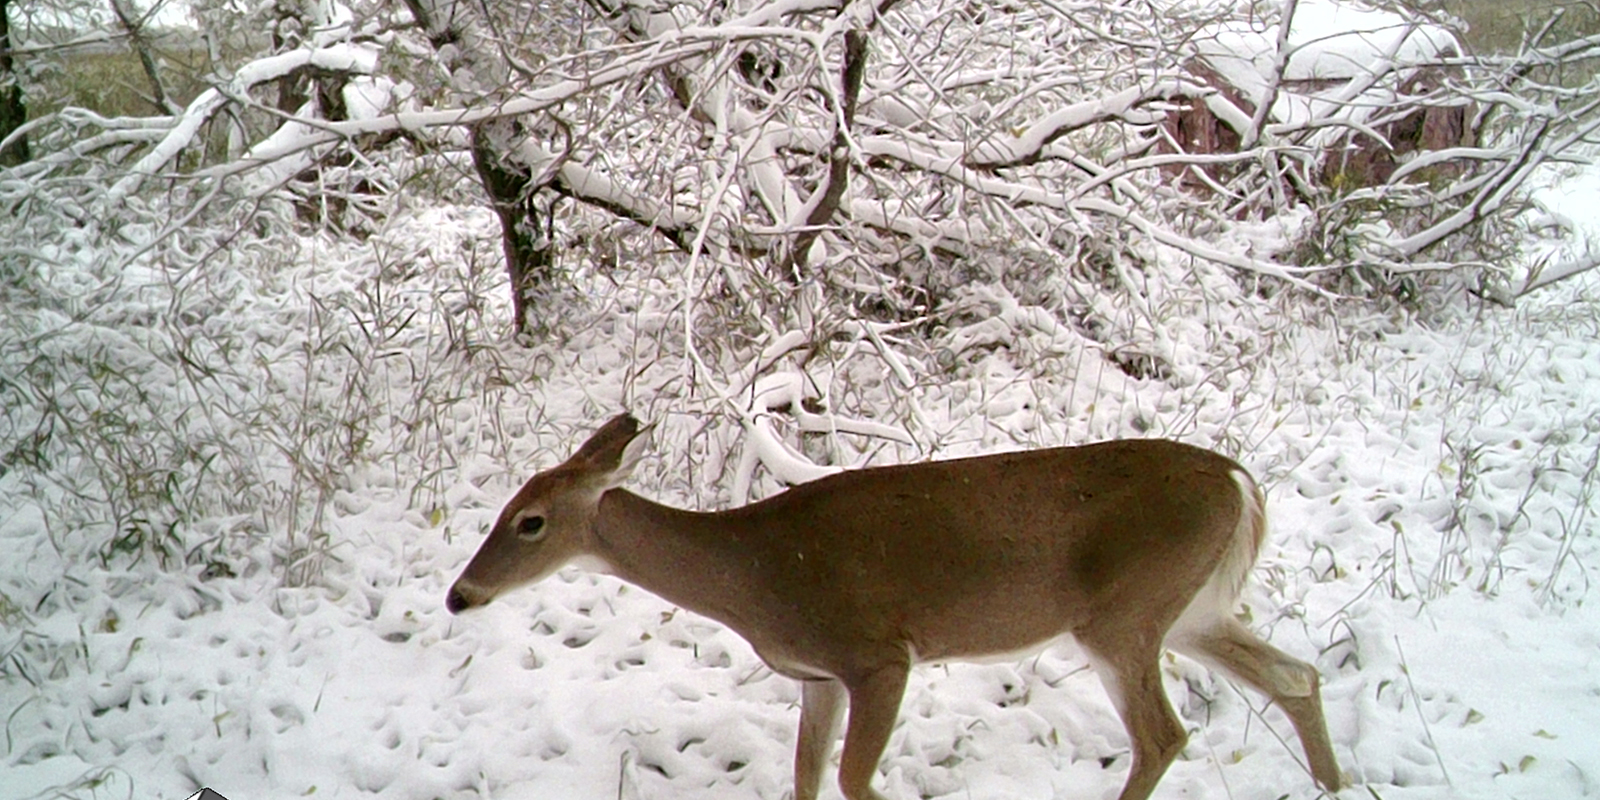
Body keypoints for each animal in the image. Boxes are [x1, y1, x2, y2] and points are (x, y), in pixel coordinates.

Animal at [444, 412, 1344, 800]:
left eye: (529, 521)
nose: (459, 596)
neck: (755, 578)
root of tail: (1240, 481)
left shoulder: (878, 655)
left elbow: (851, 779)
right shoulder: (817, 675)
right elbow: (807, 778)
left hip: (1123, 616)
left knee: (1164, 735)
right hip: (1189, 609)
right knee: (1296, 676)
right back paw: (1335, 787)